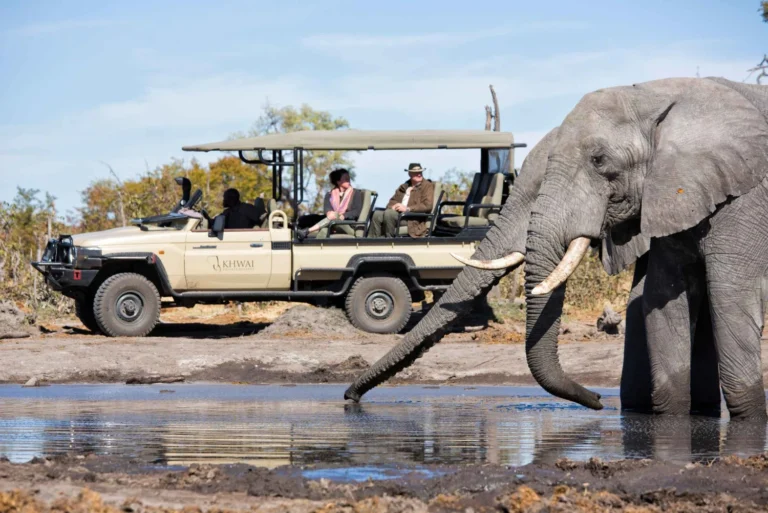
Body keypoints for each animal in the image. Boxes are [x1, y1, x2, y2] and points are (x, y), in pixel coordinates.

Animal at [521, 77, 768, 419]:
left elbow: (730, 297)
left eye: (598, 159)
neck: (654, 95)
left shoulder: (746, 197)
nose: (598, 398)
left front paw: (750, 417)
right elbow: (662, 297)